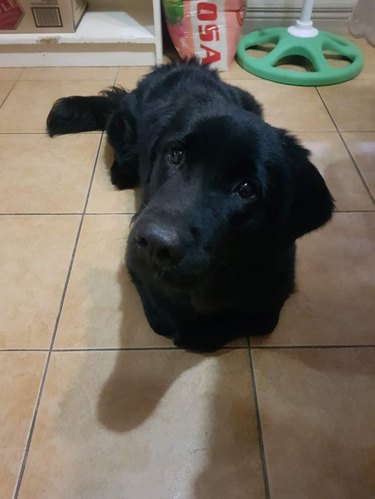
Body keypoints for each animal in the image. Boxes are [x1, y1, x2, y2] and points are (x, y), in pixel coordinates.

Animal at [46, 61, 334, 352]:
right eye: (176, 154)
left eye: (246, 189)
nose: (154, 243)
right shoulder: (137, 268)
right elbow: (163, 319)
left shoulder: (276, 289)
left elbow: (246, 322)